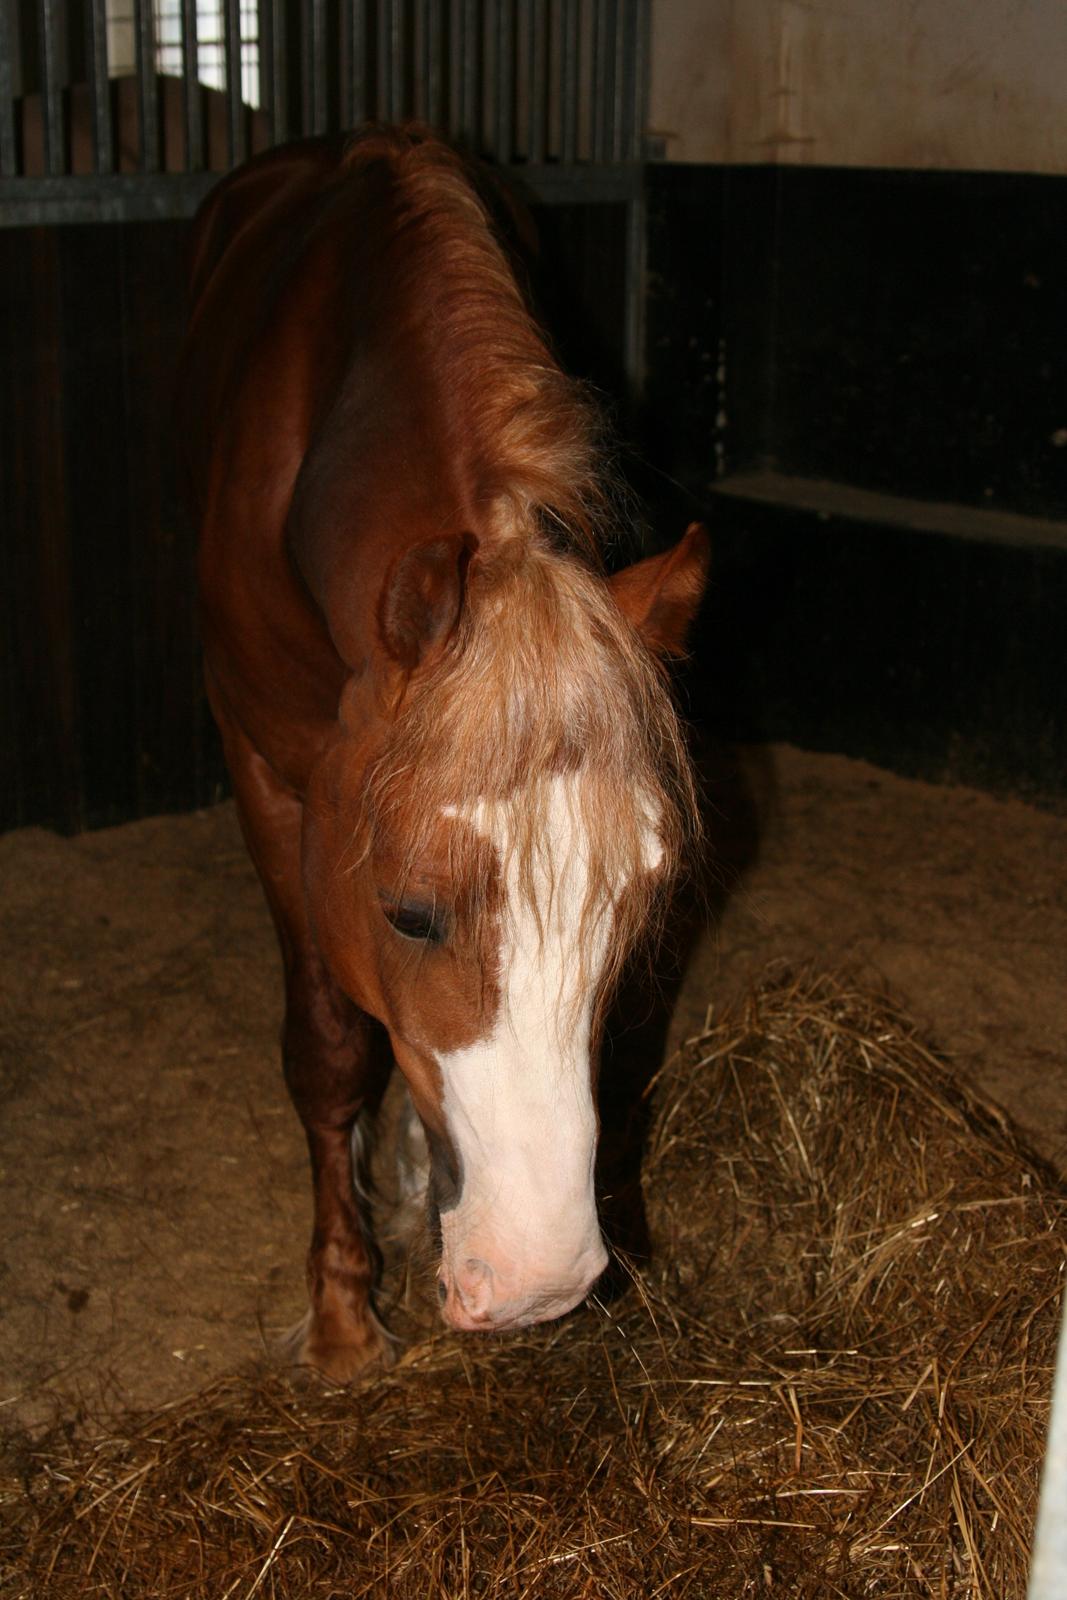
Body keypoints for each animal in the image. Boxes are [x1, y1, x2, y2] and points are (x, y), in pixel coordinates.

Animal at [181, 128, 710, 1376]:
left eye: (641, 905)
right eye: (408, 912)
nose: (537, 1279)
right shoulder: (265, 771)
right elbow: (331, 1049)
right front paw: (341, 1319)